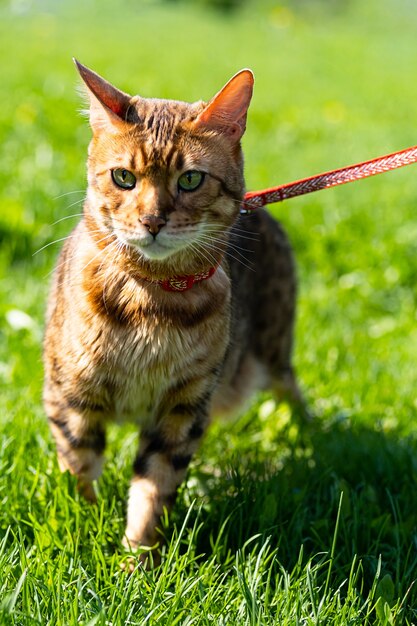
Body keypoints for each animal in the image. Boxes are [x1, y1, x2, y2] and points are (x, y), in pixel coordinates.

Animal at [43, 61, 302, 560]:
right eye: (123, 177)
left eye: (190, 179)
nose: (152, 221)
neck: (152, 303)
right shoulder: (69, 395)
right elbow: (80, 466)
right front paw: (87, 525)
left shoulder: (183, 408)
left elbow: (153, 486)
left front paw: (138, 557)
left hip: (271, 353)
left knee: (293, 392)